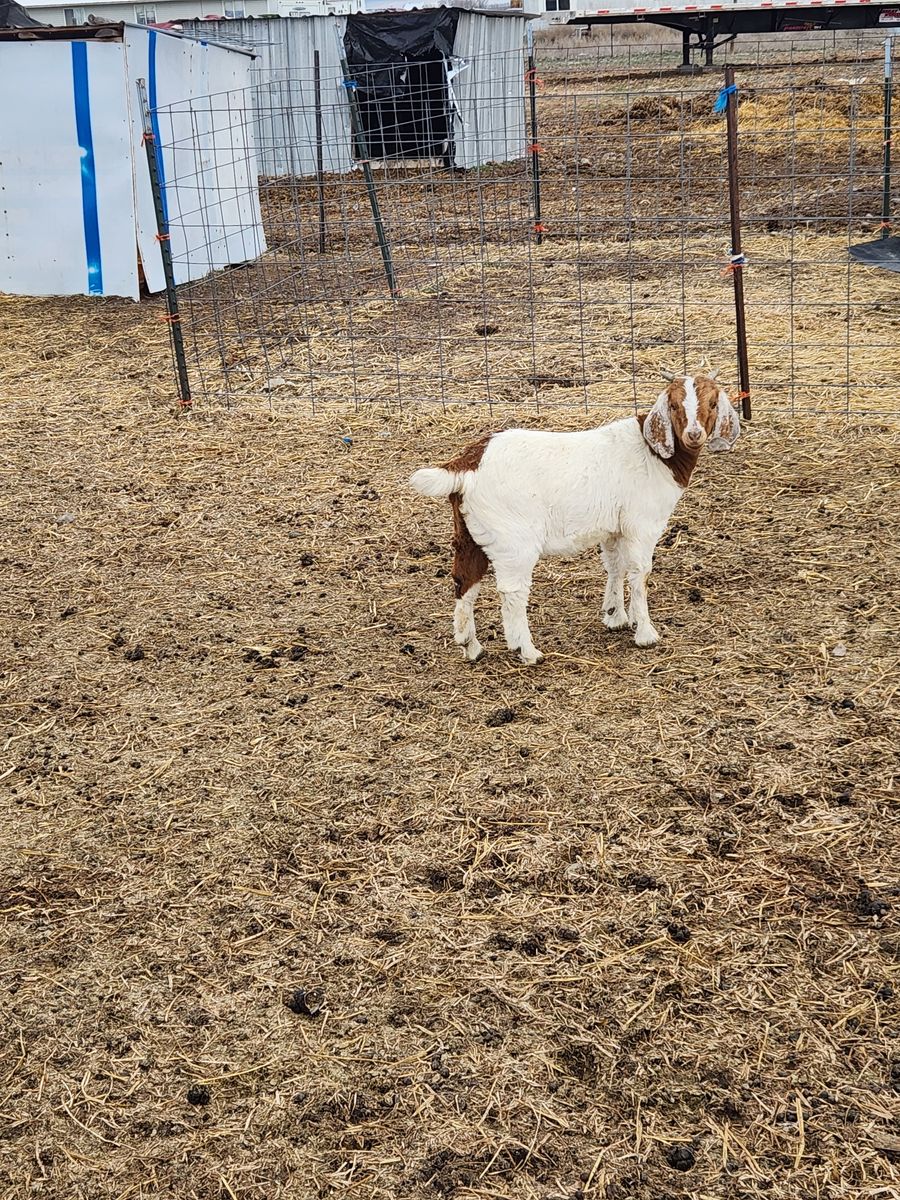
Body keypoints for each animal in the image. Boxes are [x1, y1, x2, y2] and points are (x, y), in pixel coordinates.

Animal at [409, 373, 741, 664]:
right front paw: (646, 633)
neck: (654, 454)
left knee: (465, 580)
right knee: (513, 591)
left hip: (469, 533)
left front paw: (616, 617)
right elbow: (639, 573)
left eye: (713, 403)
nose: (694, 435)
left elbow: (615, 566)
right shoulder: (641, 525)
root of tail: (468, 462)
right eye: (672, 405)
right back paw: (527, 651)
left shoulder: (614, 528)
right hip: (513, 539)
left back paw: (471, 646)